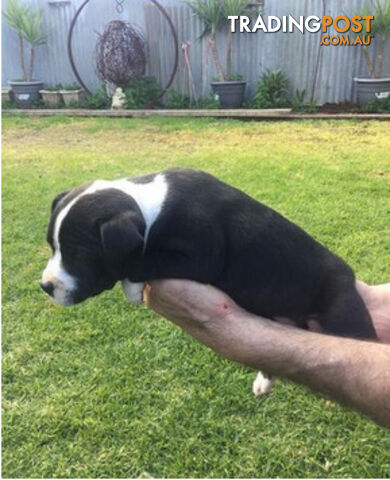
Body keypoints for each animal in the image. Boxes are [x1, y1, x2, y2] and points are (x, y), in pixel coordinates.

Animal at [40, 168, 378, 394]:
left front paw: (131, 286)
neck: (149, 209)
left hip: (346, 315)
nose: (45, 287)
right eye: (52, 246)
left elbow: (143, 258)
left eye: (79, 255)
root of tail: (348, 276)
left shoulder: (201, 257)